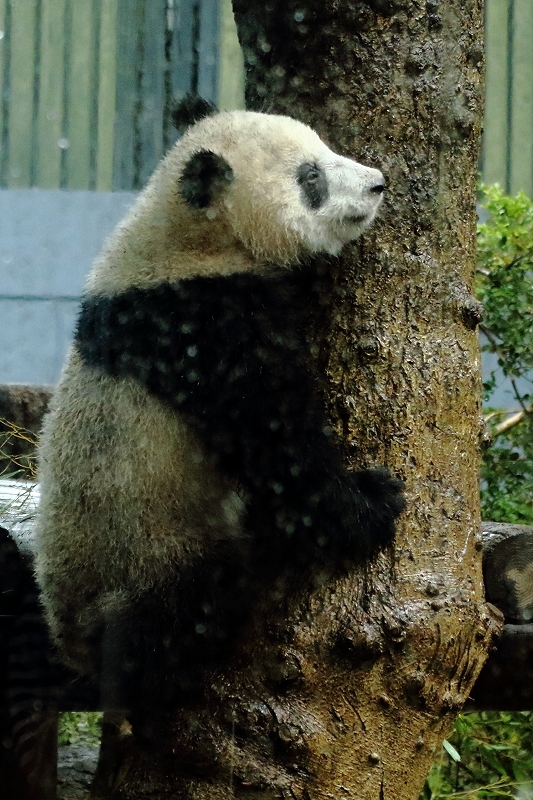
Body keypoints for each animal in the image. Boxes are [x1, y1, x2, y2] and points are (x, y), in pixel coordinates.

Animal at [34, 103, 404, 708]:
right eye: (311, 179)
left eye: (325, 149)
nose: (378, 184)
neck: (191, 236)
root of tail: (73, 646)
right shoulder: (202, 326)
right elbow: (275, 442)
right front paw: (370, 502)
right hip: (152, 550)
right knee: (191, 604)